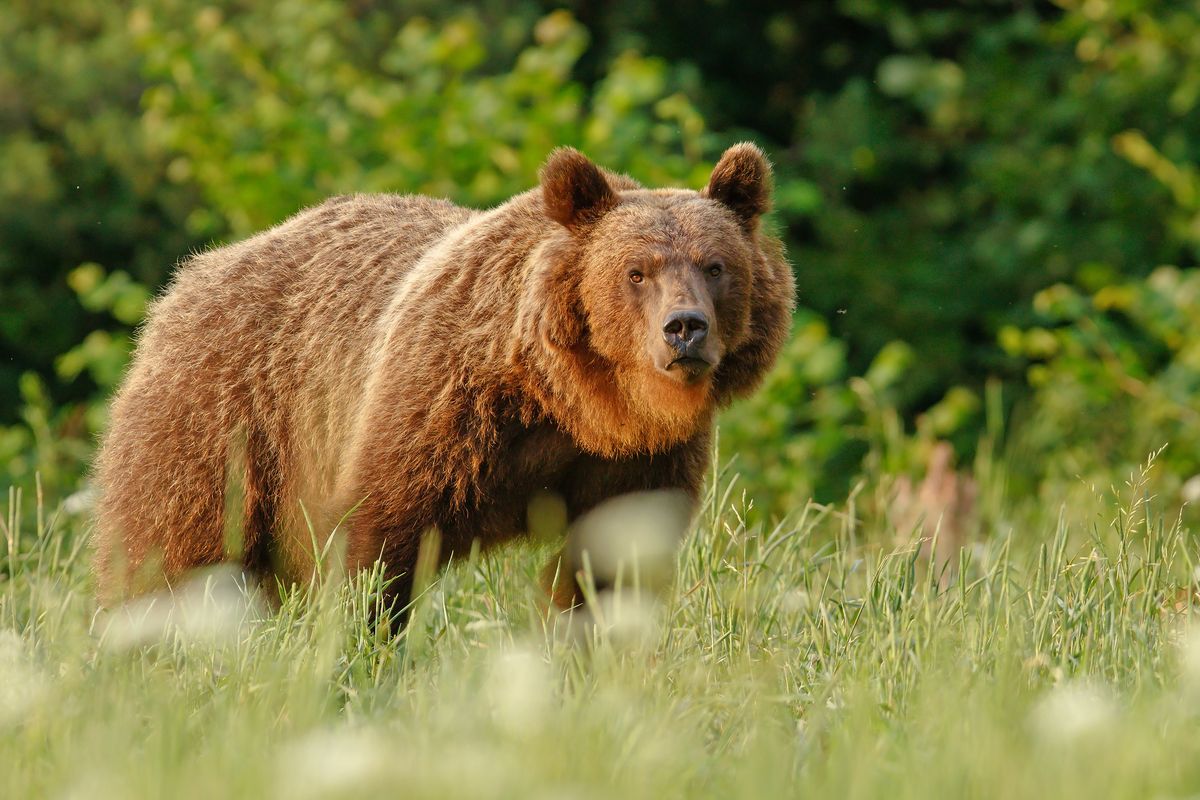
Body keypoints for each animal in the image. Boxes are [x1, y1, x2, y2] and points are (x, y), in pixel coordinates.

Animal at [96, 142, 796, 614]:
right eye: (637, 271)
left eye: (716, 266)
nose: (685, 328)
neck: (571, 402)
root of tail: (194, 274)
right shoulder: (442, 407)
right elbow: (379, 541)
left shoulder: (641, 460)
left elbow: (611, 565)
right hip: (225, 418)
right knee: (172, 546)